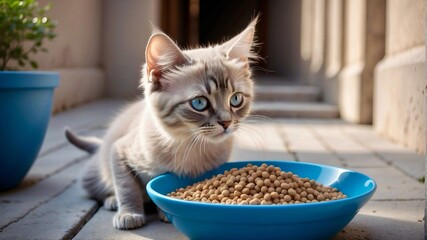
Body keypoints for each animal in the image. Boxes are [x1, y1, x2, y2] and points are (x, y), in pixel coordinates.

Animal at [65, 17, 260, 230]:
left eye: (236, 99)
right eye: (199, 103)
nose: (226, 122)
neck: (191, 145)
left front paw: (164, 212)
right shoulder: (119, 150)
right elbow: (127, 186)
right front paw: (129, 213)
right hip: (95, 174)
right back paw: (112, 200)